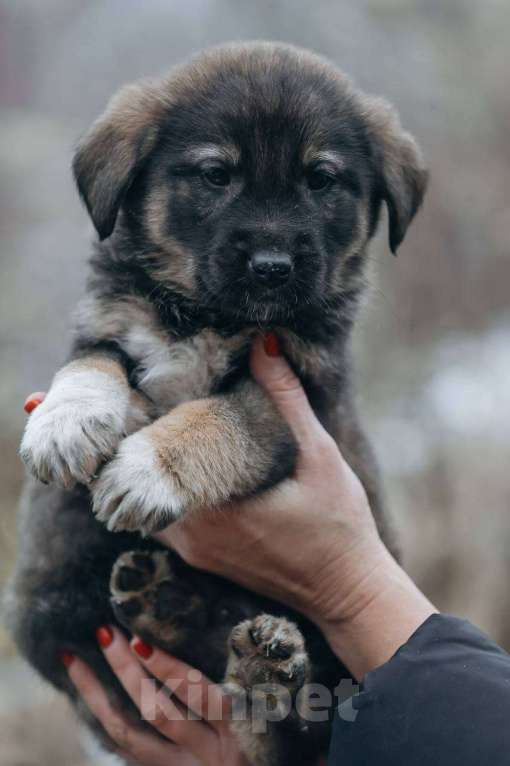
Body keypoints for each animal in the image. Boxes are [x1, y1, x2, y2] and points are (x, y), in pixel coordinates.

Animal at [5, 42, 428, 766]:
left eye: (321, 179)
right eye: (214, 175)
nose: (272, 266)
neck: (206, 315)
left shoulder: (297, 398)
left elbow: (219, 416)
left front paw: (146, 468)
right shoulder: (109, 324)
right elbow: (94, 363)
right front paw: (68, 423)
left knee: (283, 732)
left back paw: (263, 669)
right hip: (59, 613)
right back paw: (166, 603)